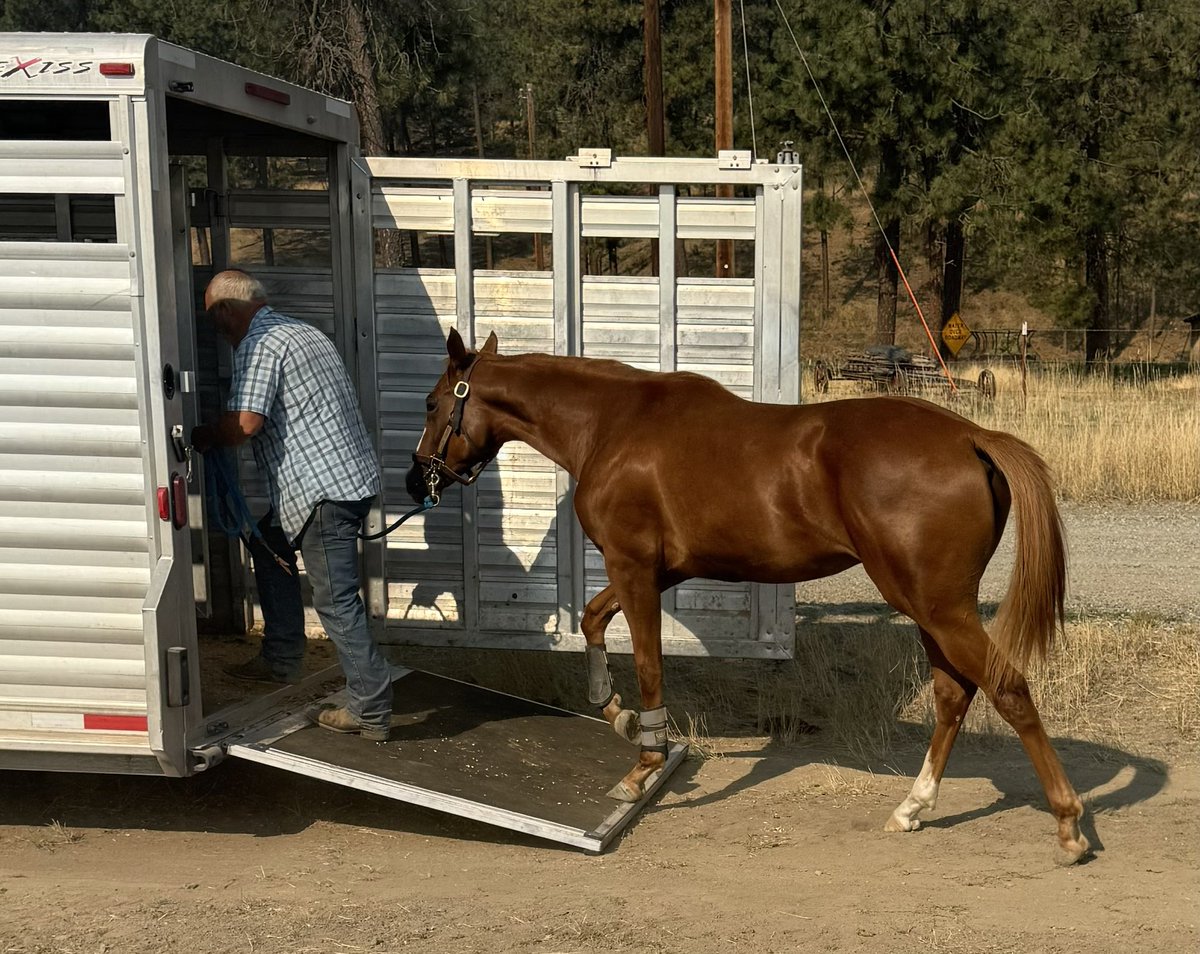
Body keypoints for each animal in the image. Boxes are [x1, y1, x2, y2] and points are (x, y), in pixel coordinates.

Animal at [406, 329, 1089, 864]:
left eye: (434, 401)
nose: (417, 478)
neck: (613, 424)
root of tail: (972, 436)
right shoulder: (657, 572)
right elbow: (594, 623)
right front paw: (616, 712)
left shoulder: (633, 567)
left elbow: (647, 662)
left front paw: (643, 764)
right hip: (932, 609)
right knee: (953, 695)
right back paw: (913, 807)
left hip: (938, 608)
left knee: (1006, 687)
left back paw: (1068, 825)